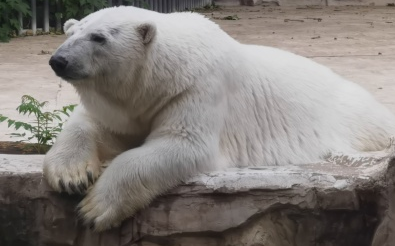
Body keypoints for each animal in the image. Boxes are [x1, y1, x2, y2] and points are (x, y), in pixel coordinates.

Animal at [43, 5, 395, 232]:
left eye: (99, 37)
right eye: (70, 32)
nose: (59, 60)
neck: (164, 73)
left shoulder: (197, 89)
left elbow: (183, 145)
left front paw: (94, 208)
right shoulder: (131, 105)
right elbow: (97, 124)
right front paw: (71, 175)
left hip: (355, 119)